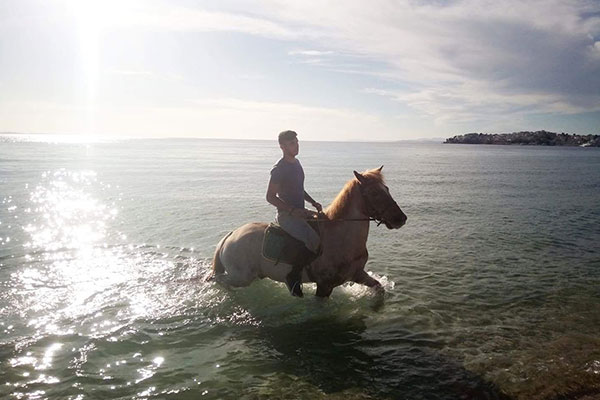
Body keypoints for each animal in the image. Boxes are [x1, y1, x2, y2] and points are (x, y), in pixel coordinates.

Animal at [211, 166, 407, 298]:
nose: (401, 218)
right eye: (374, 193)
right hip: (241, 276)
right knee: (218, 279)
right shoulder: (325, 286)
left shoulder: (357, 274)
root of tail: (229, 237)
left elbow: (379, 288)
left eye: (386, 189)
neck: (341, 237)